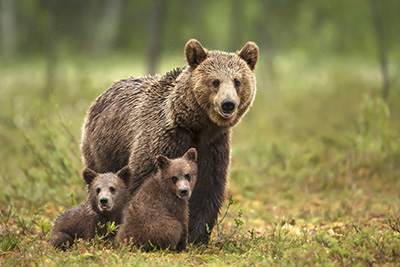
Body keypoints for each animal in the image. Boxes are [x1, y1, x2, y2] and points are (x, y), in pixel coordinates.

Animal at [80, 39, 260, 245]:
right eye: (215, 81)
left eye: (238, 81)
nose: (228, 104)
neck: (197, 126)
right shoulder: (164, 140)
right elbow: (142, 182)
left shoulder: (213, 147)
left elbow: (207, 190)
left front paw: (197, 237)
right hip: (103, 148)